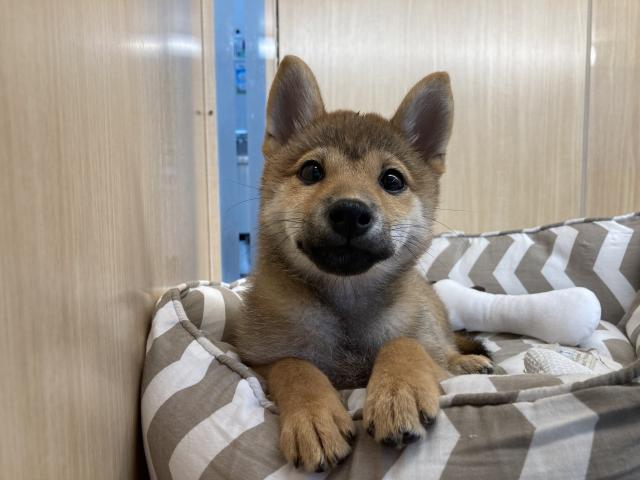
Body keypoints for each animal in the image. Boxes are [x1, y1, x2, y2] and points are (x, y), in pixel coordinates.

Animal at [232, 55, 493, 472]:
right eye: (311, 171)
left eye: (392, 180)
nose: (350, 213)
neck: (346, 306)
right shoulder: (256, 363)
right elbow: (295, 367)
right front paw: (314, 416)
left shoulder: (424, 352)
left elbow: (404, 344)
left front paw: (398, 391)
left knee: (448, 348)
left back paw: (469, 362)